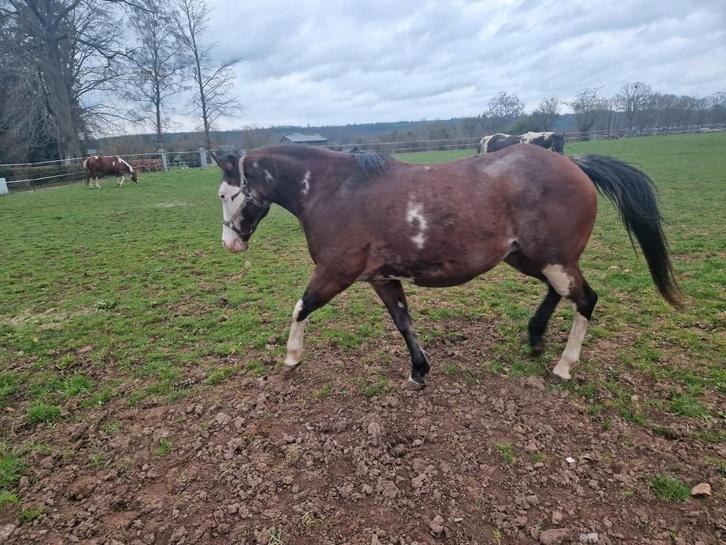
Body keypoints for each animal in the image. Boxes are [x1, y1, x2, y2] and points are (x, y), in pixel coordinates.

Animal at [213, 144, 680, 390]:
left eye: (225, 193)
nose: (230, 243)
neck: (336, 190)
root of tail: (574, 163)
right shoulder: (382, 278)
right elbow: (403, 322)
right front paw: (419, 372)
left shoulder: (336, 271)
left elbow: (301, 307)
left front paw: (291, 358)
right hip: (531, 258)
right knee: (562, 294)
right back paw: (535, 337)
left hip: (553, 259)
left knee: (586, 299)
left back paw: (564, 364)